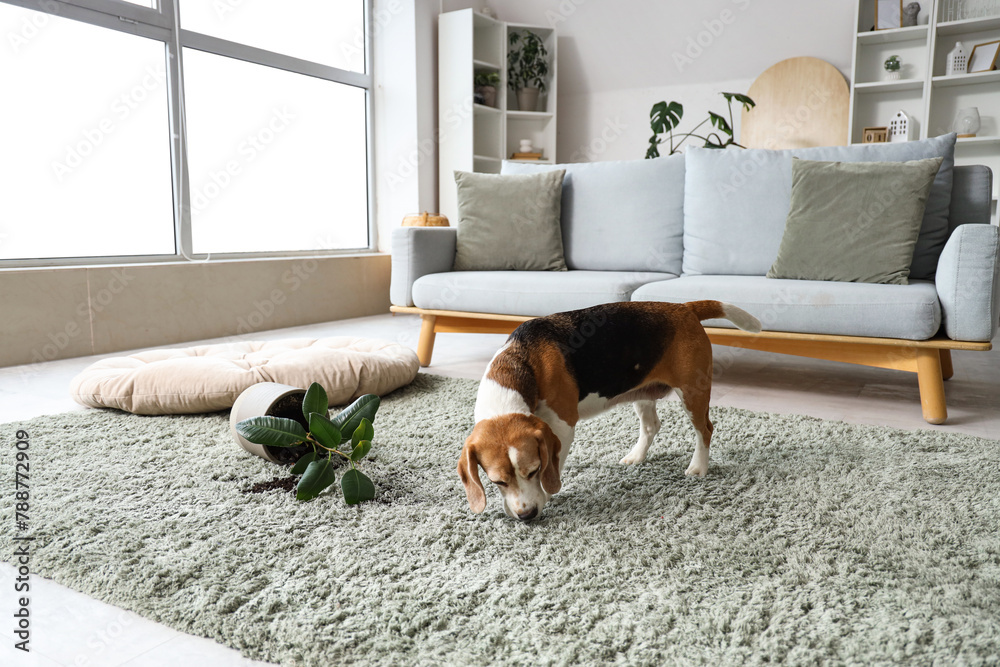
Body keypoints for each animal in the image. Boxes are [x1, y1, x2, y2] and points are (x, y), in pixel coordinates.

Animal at [458, 298, 756, 520]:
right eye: (497, 482)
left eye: (533, 470)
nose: (527, 515)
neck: (519, 364)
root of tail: (684, 308)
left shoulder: (562, 428)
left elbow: (551, 470)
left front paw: (546, 495)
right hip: (643, 393)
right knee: (652, 426)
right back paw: (636, 456)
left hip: (693, 394)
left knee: (705, 429)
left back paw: (698, 467)